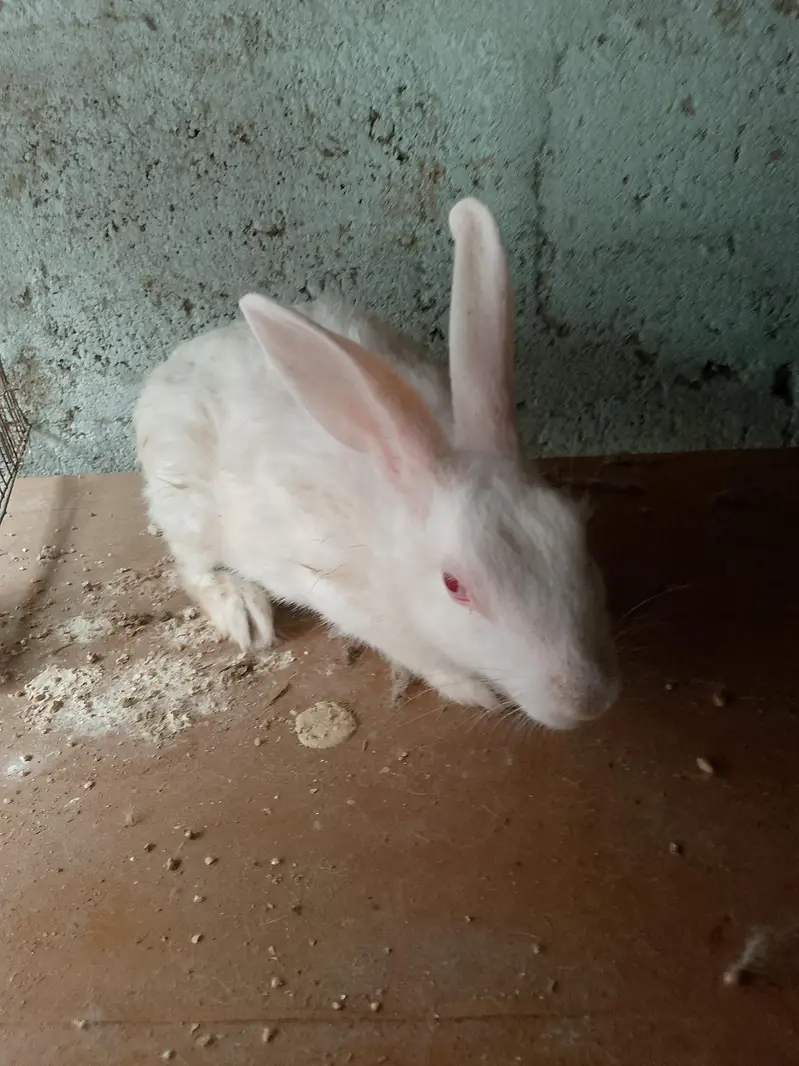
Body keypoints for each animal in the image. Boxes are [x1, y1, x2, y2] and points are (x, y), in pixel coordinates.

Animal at [134, 198, 619, 730]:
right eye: (454, 586)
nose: (587, 702)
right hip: (187, 503)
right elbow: (419, 655)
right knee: (193, 568)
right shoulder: (343, 597)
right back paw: (244, 611)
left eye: (576, 532)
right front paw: (470, 689)